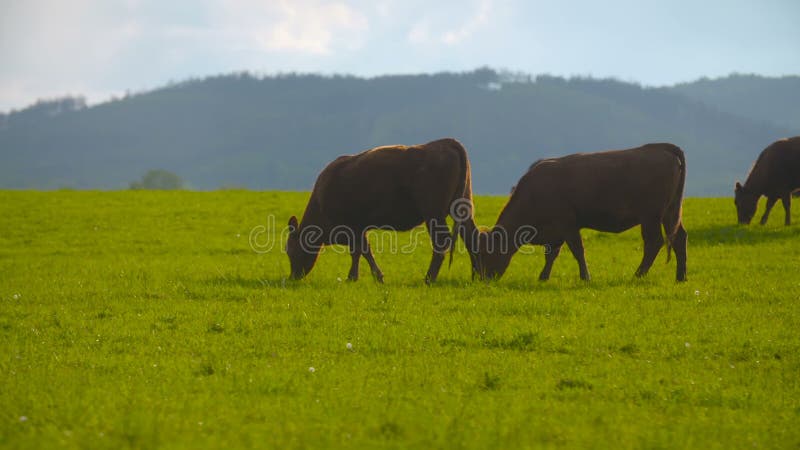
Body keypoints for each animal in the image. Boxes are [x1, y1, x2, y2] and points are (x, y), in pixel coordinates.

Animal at [286, 139, 476, 284]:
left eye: (290, 251)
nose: (293, 277)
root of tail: (444, 142)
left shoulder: (353, 227)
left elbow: (361, 251)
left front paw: (361, 277)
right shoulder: (359, 228)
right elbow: (361, 251)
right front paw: (363, 277)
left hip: (433, 213)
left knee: (441, 242)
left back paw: (429, 278)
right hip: (463, 206)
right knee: (471, 236)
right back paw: (478, 274)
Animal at [476, 144, 688, 284]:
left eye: (486, 252)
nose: (483, 279)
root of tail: (661, 148)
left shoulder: (568, 225)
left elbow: (577, 251)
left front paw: (585, 277)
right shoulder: (556, 233)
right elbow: (551, 255)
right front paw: (543, 277)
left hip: (651, 217)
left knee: (654, 242)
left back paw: (638, 275)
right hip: (670, 213)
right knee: (679, 238)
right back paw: (681, 277)